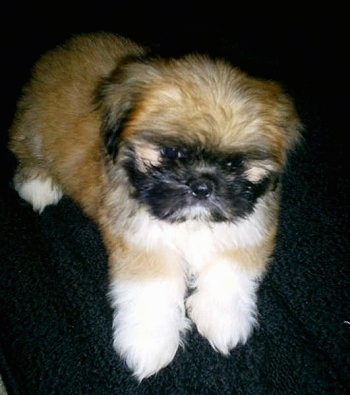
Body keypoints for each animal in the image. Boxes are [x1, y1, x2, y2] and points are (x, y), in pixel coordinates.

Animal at [9, 31, 302, 380]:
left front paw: (223, 319)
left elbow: (232, 269)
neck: (193, 223)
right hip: (34, 127)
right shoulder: (142, 240)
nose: (202, 185)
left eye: (235, 164)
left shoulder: (251, 225)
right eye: (172, 153)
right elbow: (152, 288)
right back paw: (37, 184)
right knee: (26, 149)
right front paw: (148, 345)